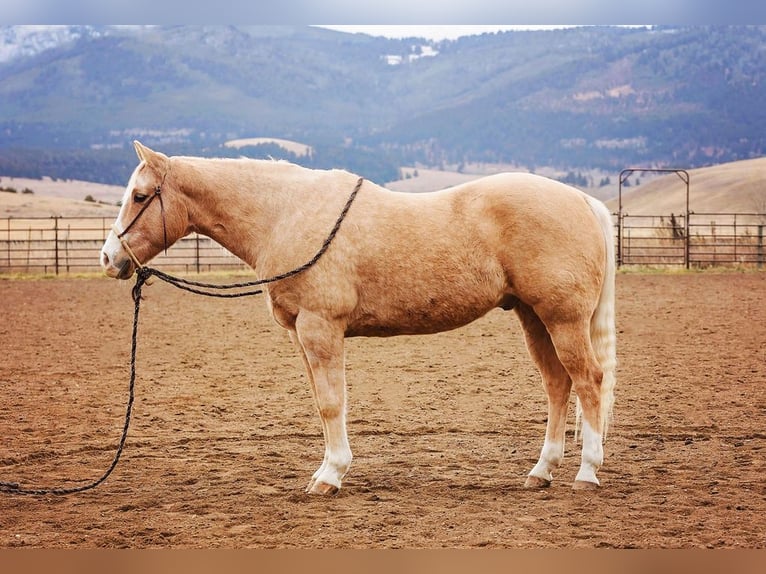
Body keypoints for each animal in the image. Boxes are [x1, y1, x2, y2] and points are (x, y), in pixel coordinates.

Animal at [100, 141, 617, 495]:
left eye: (140, 196)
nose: (109, 258)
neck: (285, 214)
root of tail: (582, 201)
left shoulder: (320, 328)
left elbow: (333, 403)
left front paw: (330, 475)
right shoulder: (301, 335)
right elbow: (320, 402)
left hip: (563, 319)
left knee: (588, 380)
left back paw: (587, 473)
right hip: (534, 317)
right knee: (557, 383)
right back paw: (542, 471)